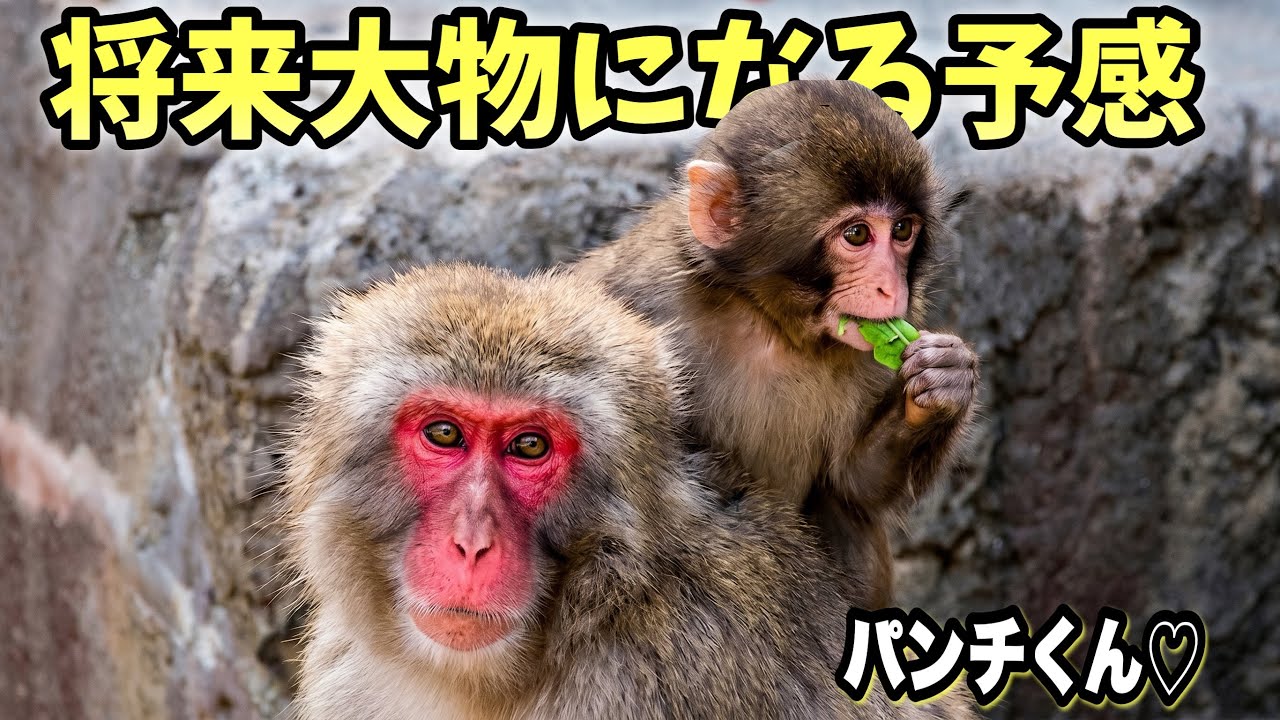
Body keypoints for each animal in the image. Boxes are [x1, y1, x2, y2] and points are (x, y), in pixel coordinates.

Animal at [575, 79, 979, 607]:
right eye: (857, 234)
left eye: (903, 230)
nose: (893, 288)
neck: (768, 319)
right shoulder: (644, 302)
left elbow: (854, 483)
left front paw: (942, 382)